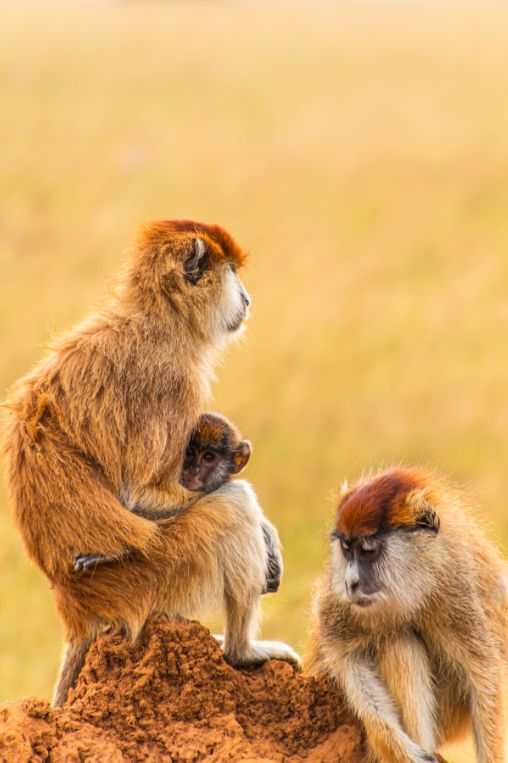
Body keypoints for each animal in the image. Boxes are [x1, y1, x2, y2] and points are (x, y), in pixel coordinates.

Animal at [3, 219, 299, 707]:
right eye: (232, 273)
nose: (247, 298)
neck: (159, 316)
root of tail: (74, 608)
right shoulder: (172, 380)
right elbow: (139, 495)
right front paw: (265, 533)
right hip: (156, 574)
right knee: (232, 506)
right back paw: (241, 652)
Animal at [306, 466, 507, 763]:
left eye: (367, 550)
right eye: (347, 549)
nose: (351, 582)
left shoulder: (458, 586)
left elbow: (483, 673)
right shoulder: (341, 600)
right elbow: (347, 657)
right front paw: (398, 747)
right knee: (397, 640)